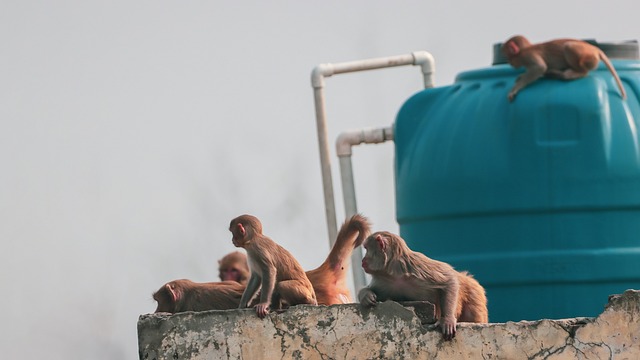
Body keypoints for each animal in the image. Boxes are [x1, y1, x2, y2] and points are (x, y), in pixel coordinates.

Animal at [358, 232, 488, 342]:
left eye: (366, 249)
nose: (362, 260)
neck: (395, 273)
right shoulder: (385, 282)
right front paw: (366, 296)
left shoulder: (417, 268)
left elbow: (449, 280)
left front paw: (447, 319)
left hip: (474, 293)